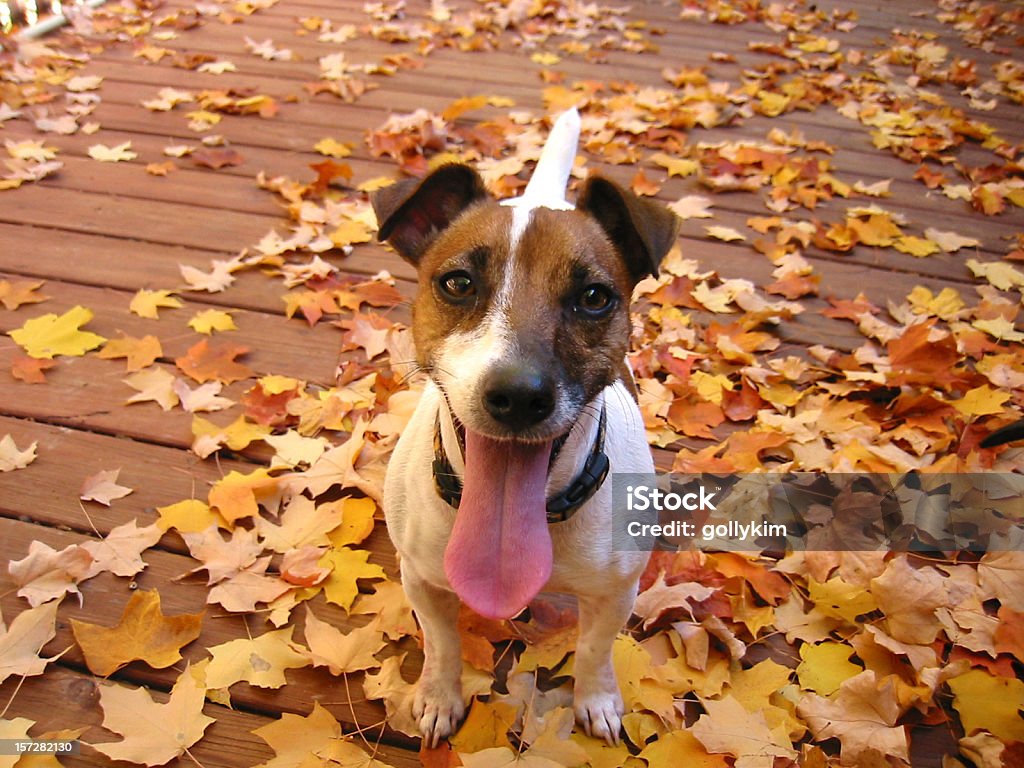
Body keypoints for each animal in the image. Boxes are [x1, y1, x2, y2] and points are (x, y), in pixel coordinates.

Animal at [370, 108, 679, 745]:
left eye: (594, 297)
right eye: (458, 283)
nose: (518, 395)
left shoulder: (615, 592)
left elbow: (593, 651)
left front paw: (597, 700)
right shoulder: (423, 581)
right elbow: (441, 644)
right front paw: (439, 696)